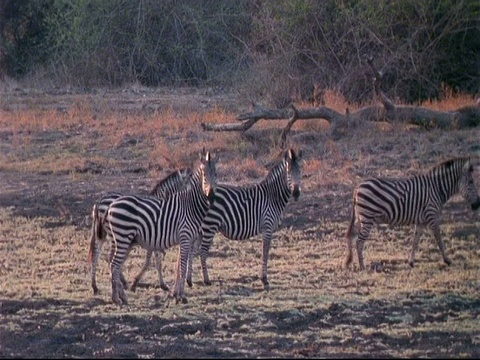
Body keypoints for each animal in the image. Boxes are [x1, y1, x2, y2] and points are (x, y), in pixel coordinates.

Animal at [105, 148, 218, 306]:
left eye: (216, 174)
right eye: (204, 175)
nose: (211, 196)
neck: (191, 205)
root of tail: (112, 205)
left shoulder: (186, 240)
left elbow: (178, 267)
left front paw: (175, 294)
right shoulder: (185, 237)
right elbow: (182, 267)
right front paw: (181, 296)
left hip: (123, 240)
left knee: (114, 264)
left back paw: (121, 296)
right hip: (123, 239)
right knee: (114, 265)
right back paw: (116, 298)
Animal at [189, 146, 302, 290]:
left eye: (300, 172)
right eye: (288, 172)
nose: (296, 193)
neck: (273, 196)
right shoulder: (267, 227)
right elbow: (265, 252)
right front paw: (264, 280)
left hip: (201, 229)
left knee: (192, 251)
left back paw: (189, 280)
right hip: (209, 226)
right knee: (202, 252)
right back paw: (206, 280)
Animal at [344, 156, 480, 272]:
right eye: (471, 182)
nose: (477, 204)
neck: (436, 189)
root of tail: (357, 187)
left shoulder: (421, 221)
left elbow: (415, 241)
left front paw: (411, 262)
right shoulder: (432, 216)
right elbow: (439, 238)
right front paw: (447, 260)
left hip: (360, 217)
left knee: (352, 236)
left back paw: (350, 262)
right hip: (368, 217)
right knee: (359, 241)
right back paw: (362, 267)